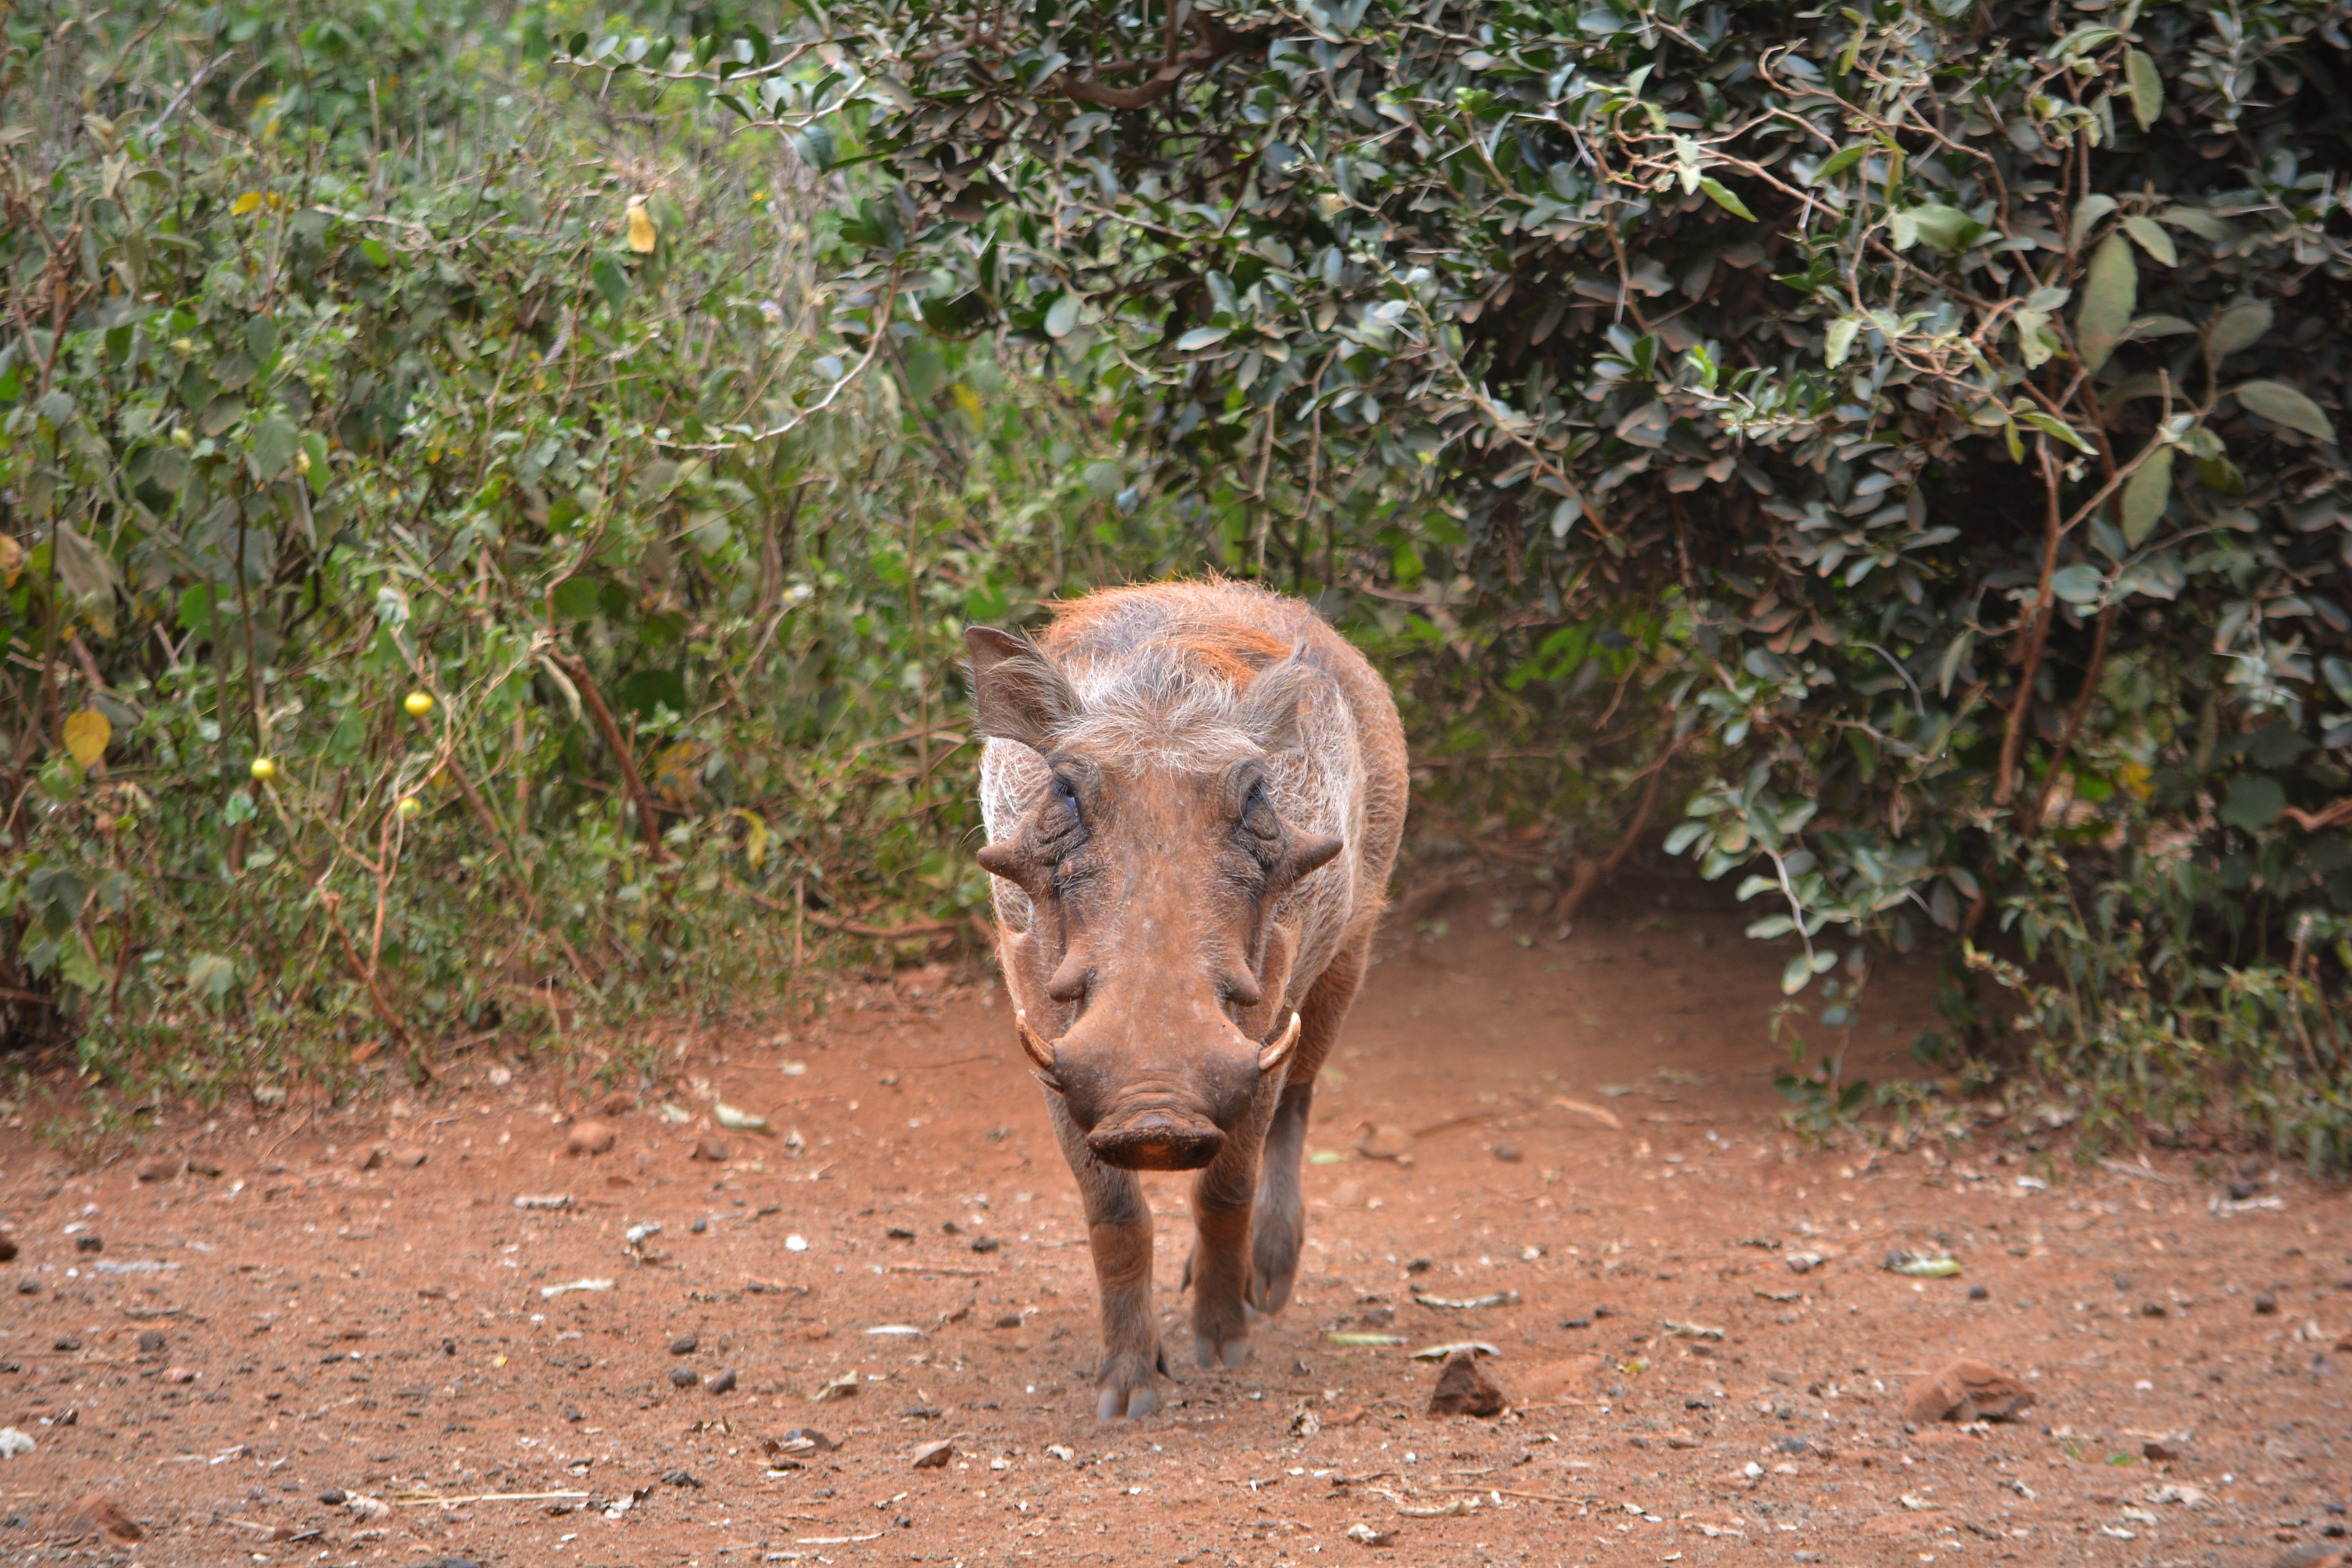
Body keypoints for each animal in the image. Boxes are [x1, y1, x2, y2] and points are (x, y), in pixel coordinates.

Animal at [967, 581, 1406, 1419]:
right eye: (1065, 791)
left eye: (1257, 796)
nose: (1156, 1121)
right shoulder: (1047, 1037)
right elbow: (1114, 1214)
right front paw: (1127, 1388)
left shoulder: (1267, 1025)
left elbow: (1228, 1186)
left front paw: (1222, 1343)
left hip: (1351, 956)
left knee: (1299, 1104)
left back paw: (1268, 1280)